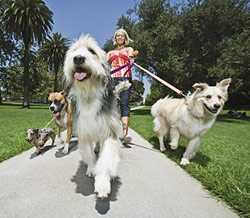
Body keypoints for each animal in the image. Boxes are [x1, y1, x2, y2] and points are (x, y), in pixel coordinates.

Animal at [64, 35, 122, 198]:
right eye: (74, 50)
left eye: (91, 51)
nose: (78, 58)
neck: (89, 92)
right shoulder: (84, 131)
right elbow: (89, 154)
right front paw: (91, 169)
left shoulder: (109, 131)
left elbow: (106, 158)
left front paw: (103, 183)